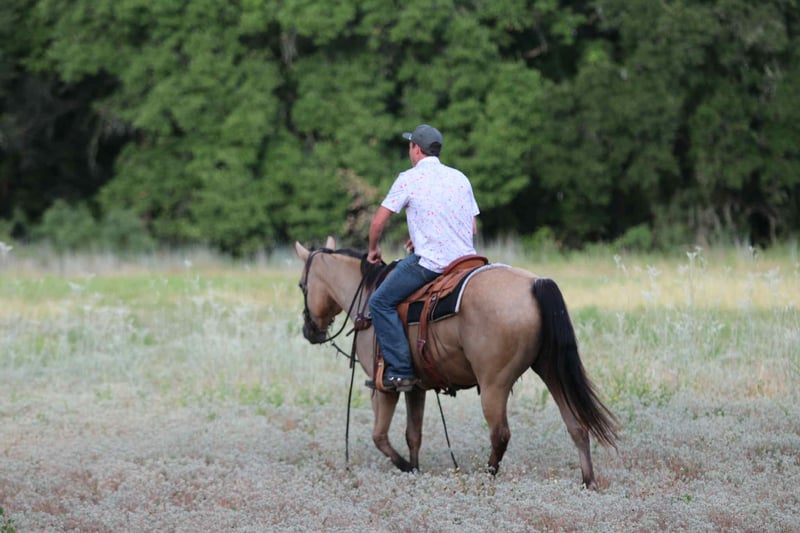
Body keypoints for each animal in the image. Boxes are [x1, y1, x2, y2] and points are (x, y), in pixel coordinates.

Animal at [294, 236, 618, 489]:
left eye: (301, 286)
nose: (309, 331)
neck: (368, 300)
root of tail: (534, 284)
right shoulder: (415, 387)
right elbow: (413, 435)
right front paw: (416, 469)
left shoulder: (383, 386)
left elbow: (380, 436)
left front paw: (407, 468)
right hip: (551, 371)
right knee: (577, 425)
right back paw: (588, 481)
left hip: (494, 384)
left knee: (500, 434)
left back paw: (487, 478)